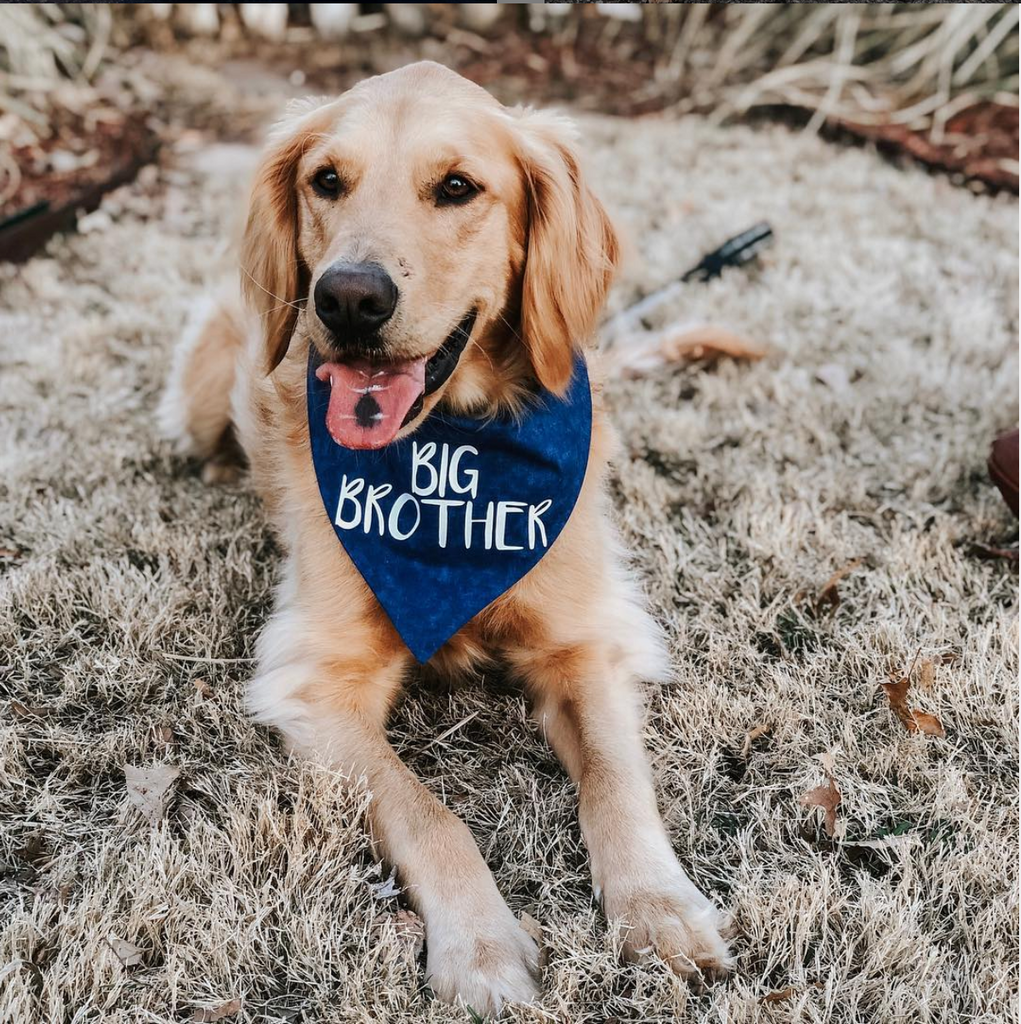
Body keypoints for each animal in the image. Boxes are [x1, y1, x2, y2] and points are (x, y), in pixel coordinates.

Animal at [161, 59, 733, 1011]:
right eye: (326, 180)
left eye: (457, 188)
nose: (348, 298)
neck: (453, 458)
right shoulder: (315, 681)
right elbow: (428, 815)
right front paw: (481, 947)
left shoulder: (584, 638)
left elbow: (615, 780)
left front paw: (659, 910)